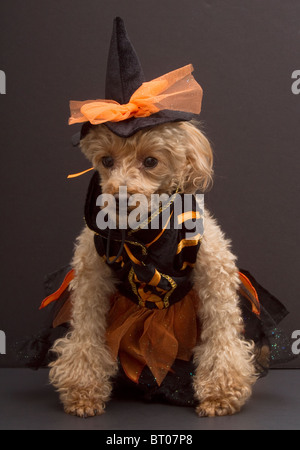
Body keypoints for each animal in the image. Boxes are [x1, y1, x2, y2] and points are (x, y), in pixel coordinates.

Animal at [48, 120, 258, 418]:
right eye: (106, 161)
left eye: (150, 161)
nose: (119, 197)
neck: (143, 235)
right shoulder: (90, 279)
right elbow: (85, 338)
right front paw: (83, 392)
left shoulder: (216, 272)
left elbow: (222, 338)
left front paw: (220, 394)